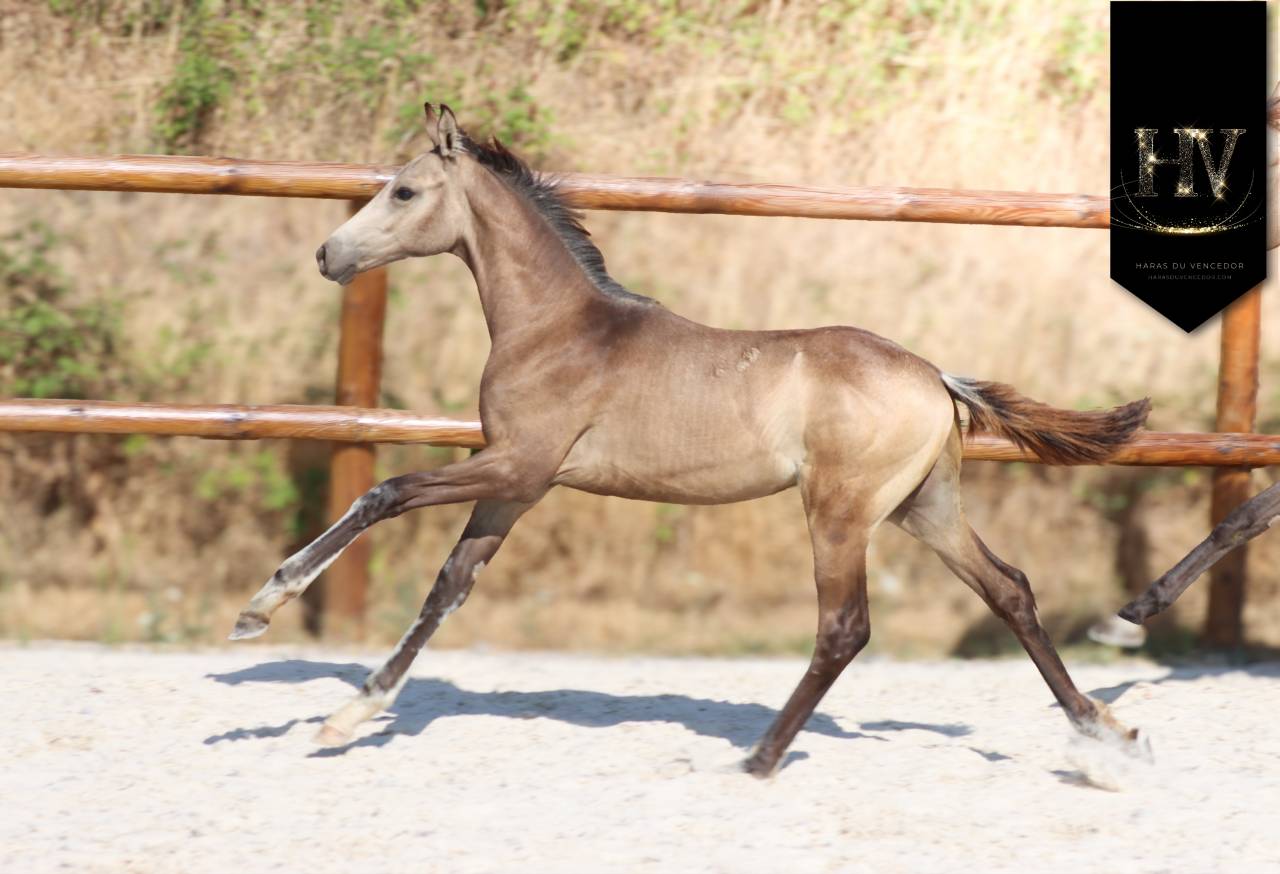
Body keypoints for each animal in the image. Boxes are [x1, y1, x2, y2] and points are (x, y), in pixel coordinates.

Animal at [229, 104, 1153, 777]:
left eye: (405, 192)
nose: (328, 254)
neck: (559, 328)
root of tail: (936, 377)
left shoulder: (515, 464)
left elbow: (383, 495)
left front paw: (261, 607)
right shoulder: (518, 486)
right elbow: (447, 587)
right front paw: (346, 716)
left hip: (841, 514)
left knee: (845, 627)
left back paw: (758, 758)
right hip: (925, 508)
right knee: (1010, 590)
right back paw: (1104, 731)